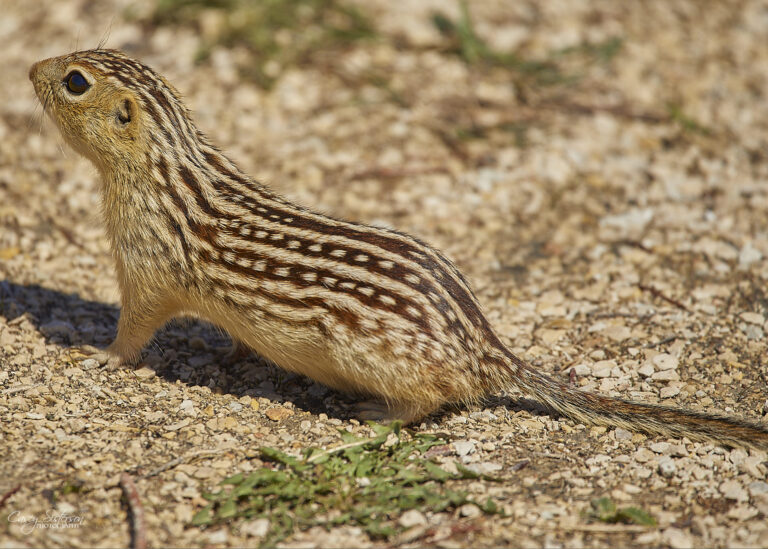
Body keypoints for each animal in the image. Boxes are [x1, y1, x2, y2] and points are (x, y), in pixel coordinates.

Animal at [29, 49, 768, 449]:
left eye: (74, 81)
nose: (32, 66)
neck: (168, 163)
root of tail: (488, 350)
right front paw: (228, 352)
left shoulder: (145, 272)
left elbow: (134, 331)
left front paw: (96, 356)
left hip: (378, 359)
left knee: (435, 402)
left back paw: (371, 415)